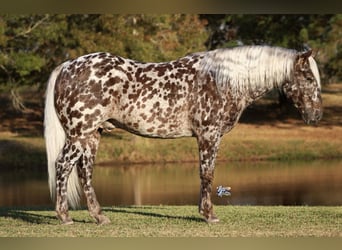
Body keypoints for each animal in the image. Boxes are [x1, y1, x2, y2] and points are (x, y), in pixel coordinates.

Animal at [44, 45, 324, 225]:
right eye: (308, 76)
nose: (316, 115)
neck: (221, 80)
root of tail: (68, 66)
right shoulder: (209, 135)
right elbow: (207, 174)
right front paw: (209, 215)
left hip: (92, 135)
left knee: (85, 173)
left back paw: (100, 217)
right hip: (79, 135)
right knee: (62, 167)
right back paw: (65, 217)